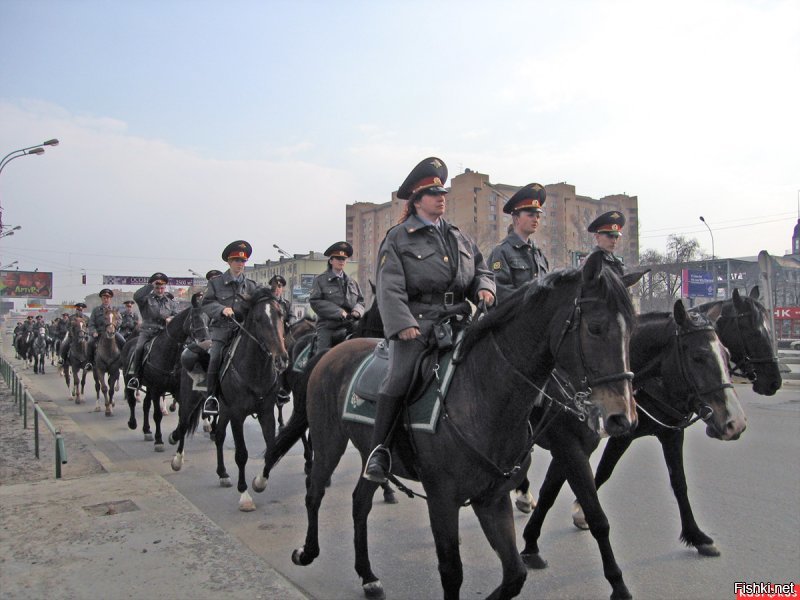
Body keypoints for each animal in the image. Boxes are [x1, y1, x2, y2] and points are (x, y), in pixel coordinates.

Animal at [120, 304, 198, 450]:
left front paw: (174, 436)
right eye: (196, 319)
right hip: (129, 380)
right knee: (132, 401)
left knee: (145, 405)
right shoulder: (156, 390)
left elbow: (182, 415)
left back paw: (146, 430)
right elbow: (157, 415)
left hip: (149, 388)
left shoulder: (176, 390)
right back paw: (132, 423)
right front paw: (159, 440)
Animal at [266, 254, 640, 600]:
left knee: (360, 501)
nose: (622, 417)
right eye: (595, 328)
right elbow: (452, 571)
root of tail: (329, 354)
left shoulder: (492, 499)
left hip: (367, 449)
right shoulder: (443, 499)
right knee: (314, 492)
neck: (481, 392)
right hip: (329, 440)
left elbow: (515, 575)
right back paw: (307, 551)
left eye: (632, 331)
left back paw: (368, 576)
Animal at [520, 298, 740, 596]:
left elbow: (679, 484)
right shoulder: (575, 445)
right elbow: (595, 506)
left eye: (727, 355)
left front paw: (697, 537)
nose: (735, 423)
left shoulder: (662, 433)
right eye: (698, 356)